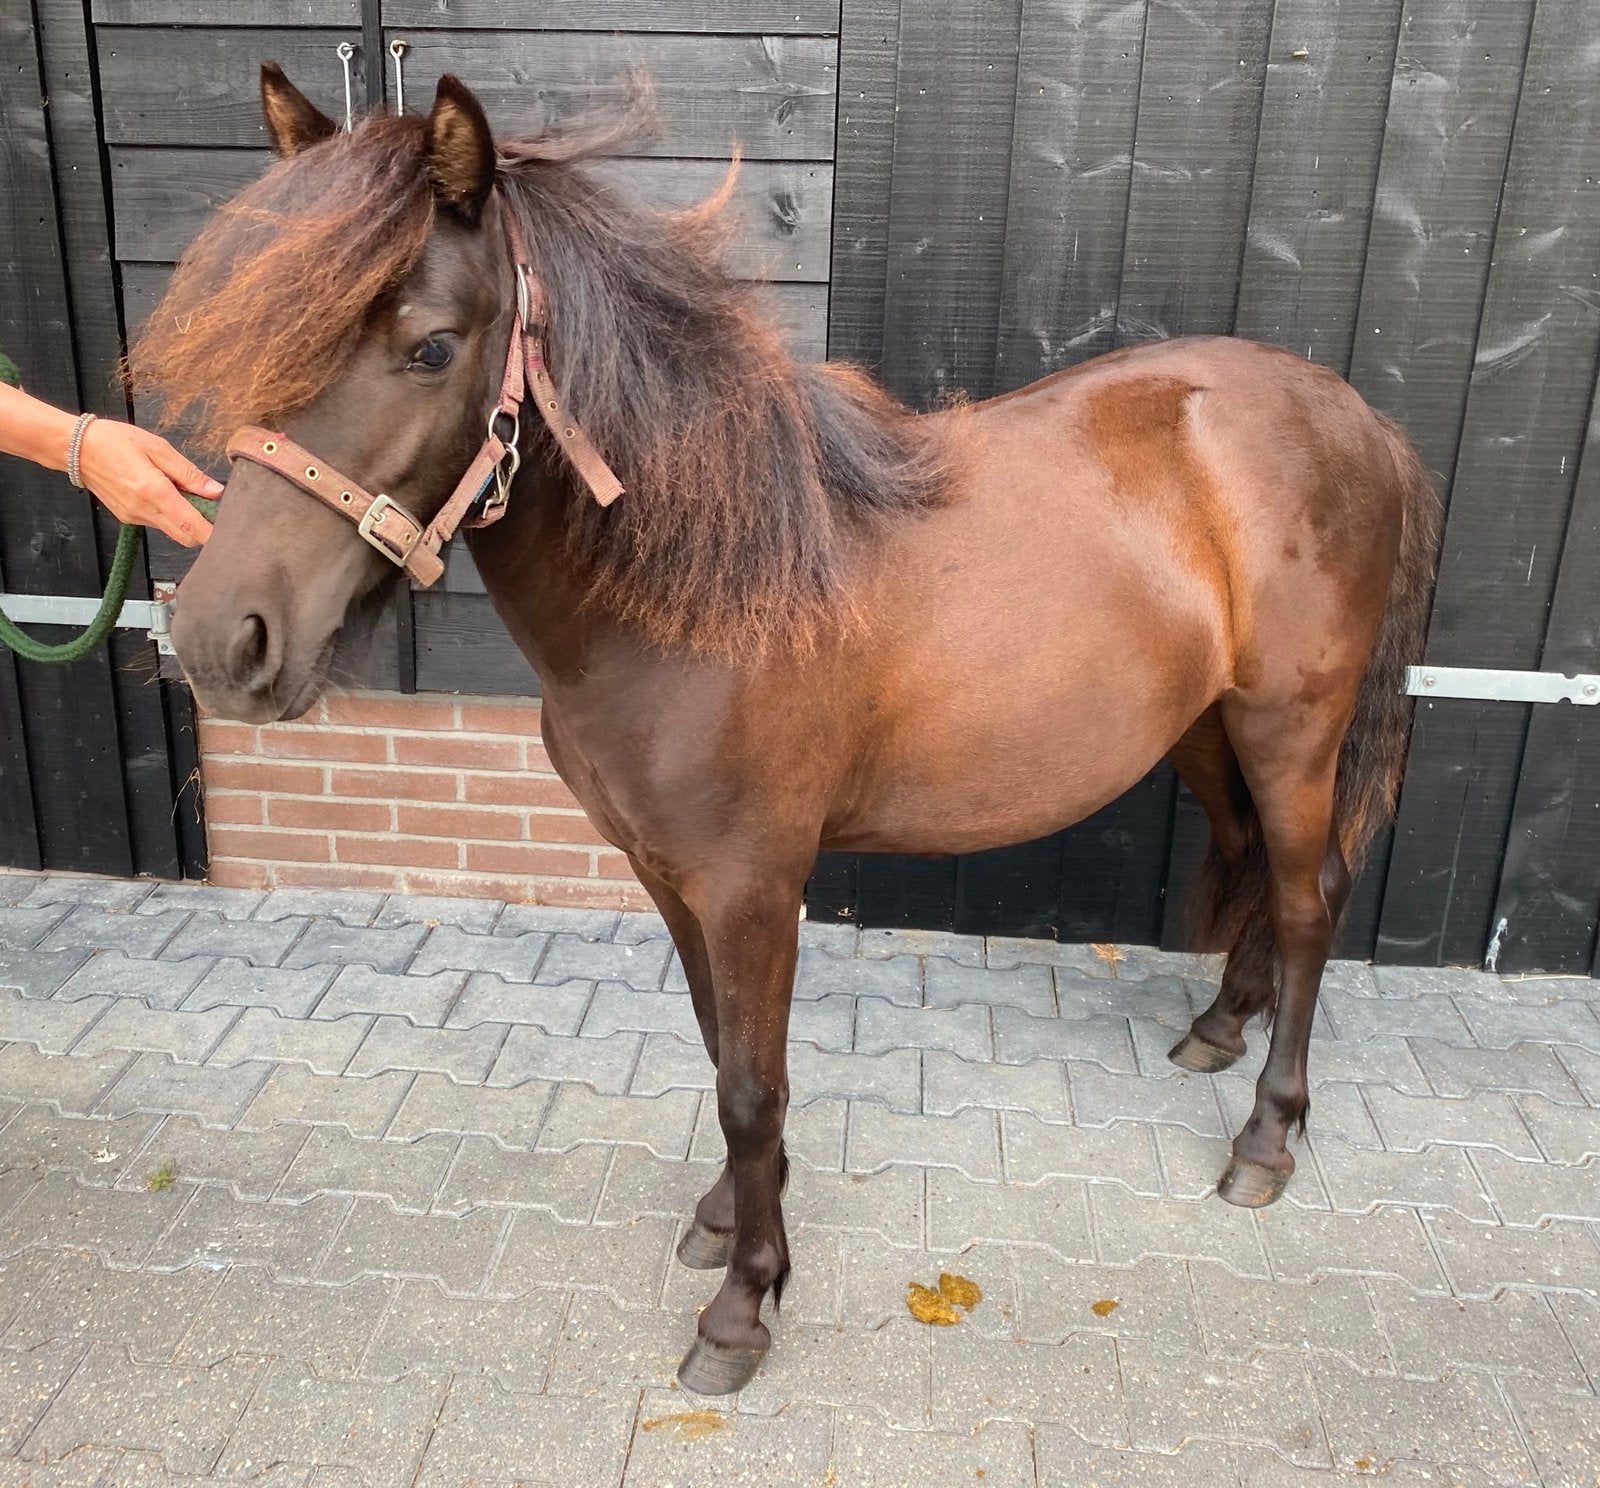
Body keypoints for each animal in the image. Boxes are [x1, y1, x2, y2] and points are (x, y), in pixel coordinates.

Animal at [145, 67, 1439, 1395]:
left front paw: (742, 1306)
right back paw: (1218, 1030)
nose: (220, 638)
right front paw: (728, 1218)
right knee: (1248, 869)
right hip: (1205, 728)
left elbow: (754, 1088)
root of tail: (1354, 417)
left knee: (1307, 899)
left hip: (1292, 729)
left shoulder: (754, 886)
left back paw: (1265, 1141)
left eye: (431, 348)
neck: (702, 587)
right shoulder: (667, 876)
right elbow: (719, 1052)